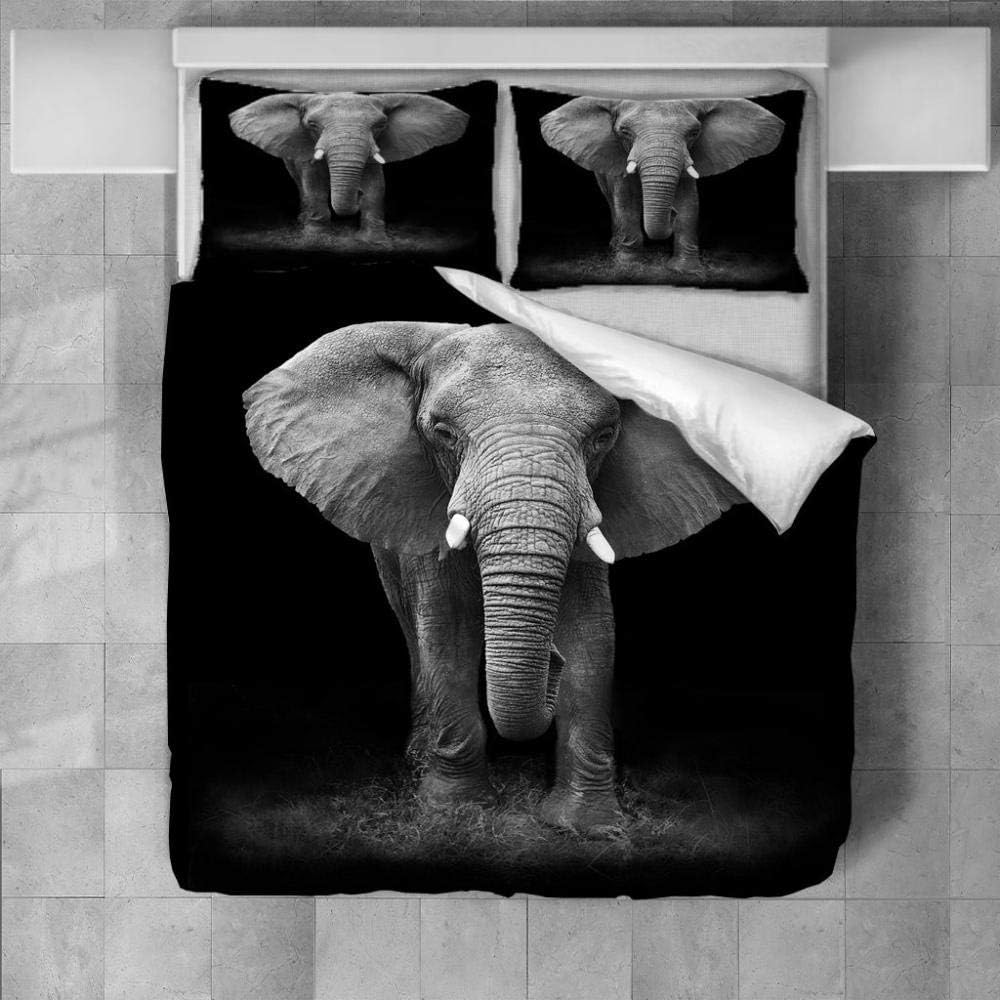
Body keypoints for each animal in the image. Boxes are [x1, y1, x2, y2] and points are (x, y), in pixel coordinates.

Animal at [229, 92, 469, 239]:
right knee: (301, 185)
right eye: (312, 125)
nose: (357, 195)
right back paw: (303, 222)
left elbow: (376, 185)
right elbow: (314, 185)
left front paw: (373, 241)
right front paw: (316, 239)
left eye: (380, 125)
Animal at [243, 321, 743, 834]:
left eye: (604, 436)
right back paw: (419, 760)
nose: (552, 661)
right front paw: (454, 813)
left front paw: (588, 825)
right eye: (443, 433)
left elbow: (592, 637)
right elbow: (447, 632)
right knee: (413, 629)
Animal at [540, 97, 785, 267]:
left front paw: (685, 269)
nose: (671, 215)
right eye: (624, 131)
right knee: (613, 202)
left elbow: (690, 202)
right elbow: (626, 202)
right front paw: (628, 267)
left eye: (694, 132)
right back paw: (614, 247)